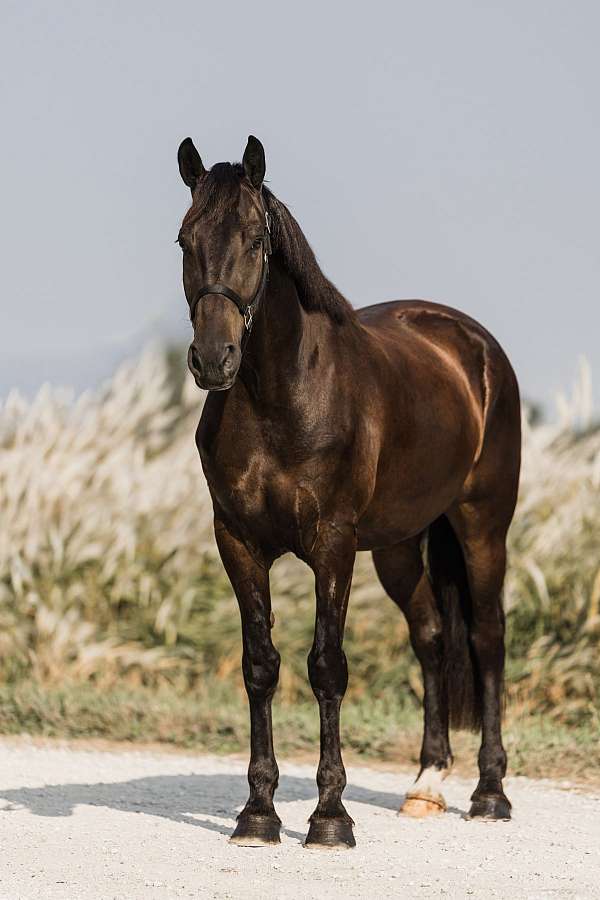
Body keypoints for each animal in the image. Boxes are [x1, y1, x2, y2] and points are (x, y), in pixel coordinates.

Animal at [176, 135, 521, 849]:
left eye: (256, 238)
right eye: (184, 239)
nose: (214, 359)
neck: (282, 397)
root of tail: (474, 347)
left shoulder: (331, 545)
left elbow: (326, 666)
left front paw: (329, 818)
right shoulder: (238, 542)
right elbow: (260, 665)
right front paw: (258, 813)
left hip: (482, 525)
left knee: (486, 637)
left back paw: (490, 794)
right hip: (398, 545)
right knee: (432, 636)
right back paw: (426, 785)